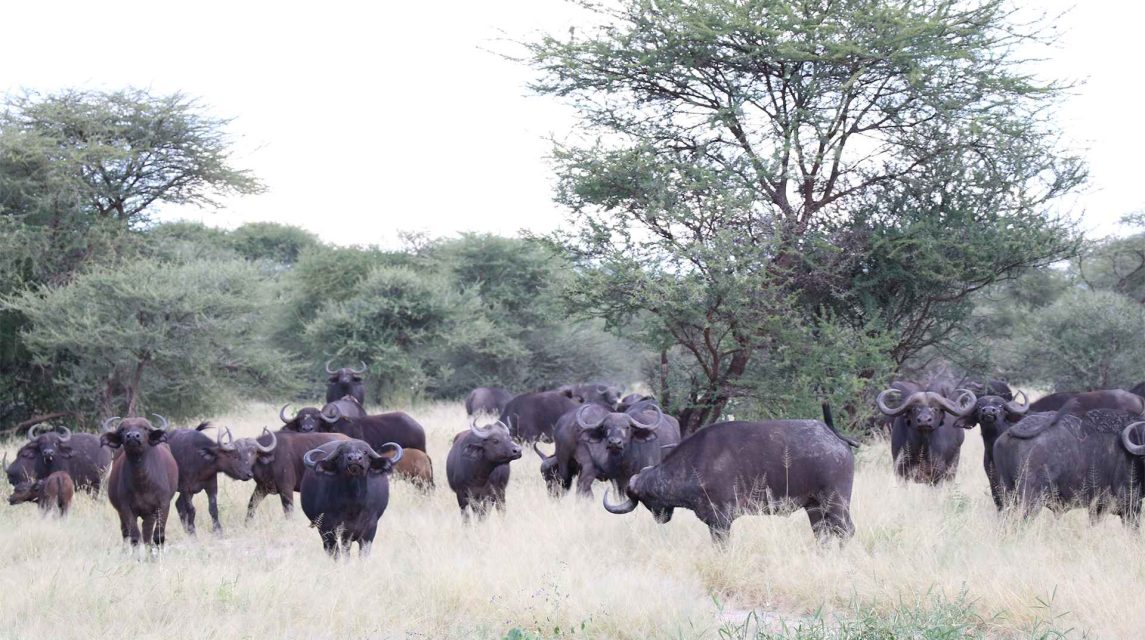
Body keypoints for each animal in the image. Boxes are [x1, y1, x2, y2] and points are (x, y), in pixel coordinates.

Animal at [101, 419, 178, 549]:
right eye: (123, 429)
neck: (141, 483)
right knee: (125, 533)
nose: (132, 436)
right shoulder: (125, 508)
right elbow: (135, 537)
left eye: (145, 428)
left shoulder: (162, 505)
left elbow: (158, 536)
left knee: (147, 534)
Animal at [604, 416, 856, 544]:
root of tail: (836, 439)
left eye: (645, 500)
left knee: (846, 531)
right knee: (823, 534)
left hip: (836, 504)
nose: (660, 518)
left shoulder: (721, 522)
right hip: (814, 508)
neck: (695, 463)